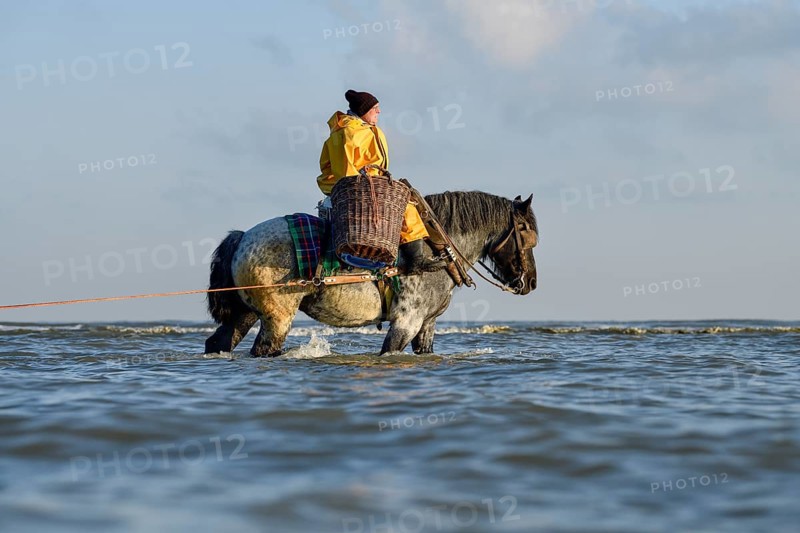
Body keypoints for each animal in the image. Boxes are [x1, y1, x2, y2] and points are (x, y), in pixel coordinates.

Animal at [203, 191, 539, 356]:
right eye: (524, 230)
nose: (531, 282)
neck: (436, 249)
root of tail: (243, 236)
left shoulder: (427, 324)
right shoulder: (406, 321)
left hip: (246, 313)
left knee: (218, 344)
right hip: (277, 318)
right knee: (264, 349)